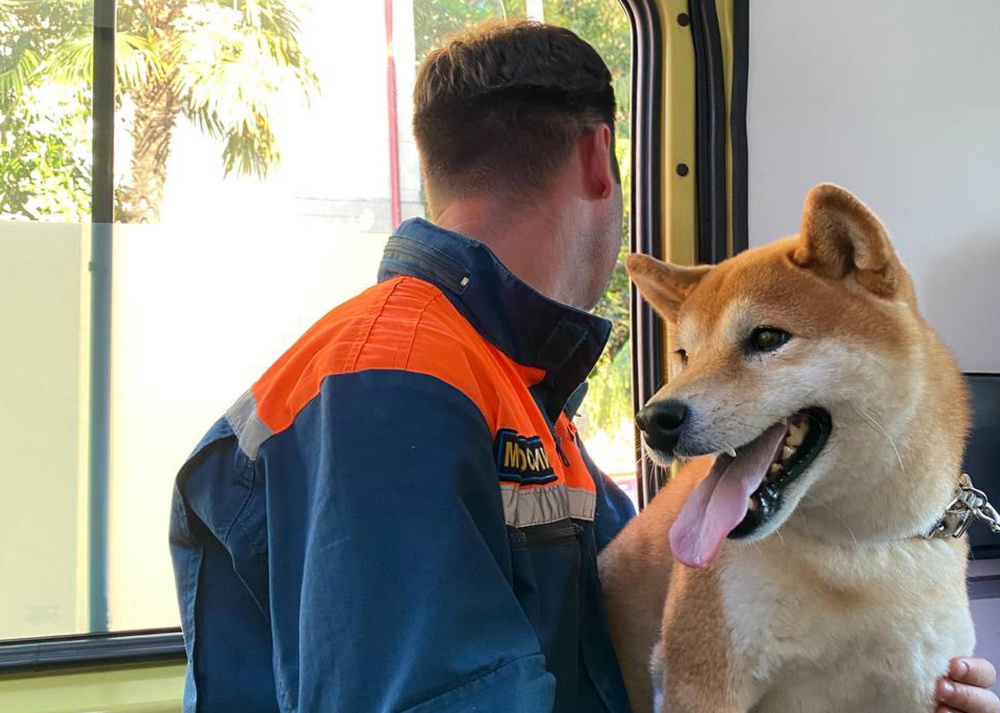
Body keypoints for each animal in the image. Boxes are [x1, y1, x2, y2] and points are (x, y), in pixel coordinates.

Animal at [600, 185, 976, 712]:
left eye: (767, 337)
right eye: (685, 356)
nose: (653, 422)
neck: (853, 548)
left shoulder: (921, 686)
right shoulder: (704, 681)